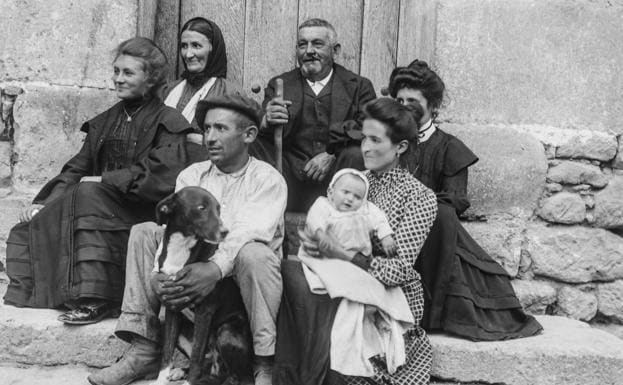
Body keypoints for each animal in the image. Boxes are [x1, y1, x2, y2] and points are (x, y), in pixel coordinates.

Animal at [152, 186, 255, 384]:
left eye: (218, 209)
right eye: (201, 208)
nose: (225, 231)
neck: (181, 247)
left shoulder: (205, 311)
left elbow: (196, 356)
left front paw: (190, 380)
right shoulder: (172, 305)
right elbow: (167, 350)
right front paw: (162, 378)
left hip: (226, 332)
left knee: (229, 376)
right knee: (209, 367)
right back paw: (179, 371)